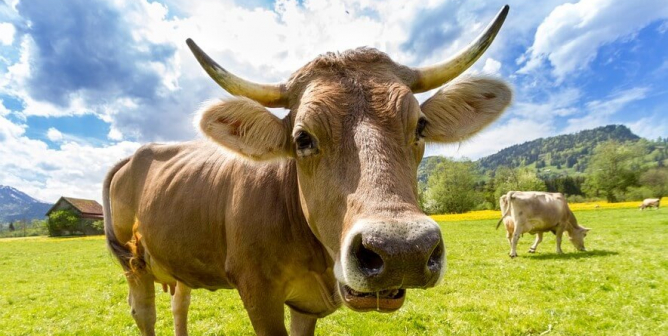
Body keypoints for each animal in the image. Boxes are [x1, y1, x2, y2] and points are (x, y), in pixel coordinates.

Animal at [104, 5, 512, 336]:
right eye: (302, 138)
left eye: (421, 126)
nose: (402, 250)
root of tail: (136, 154)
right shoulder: (258, 292)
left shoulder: (305, 305)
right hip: (133, 262)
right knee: (144, 313)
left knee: (180, 304)